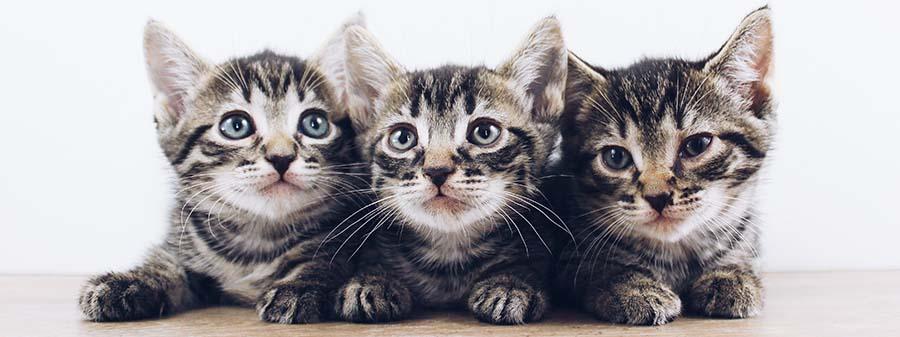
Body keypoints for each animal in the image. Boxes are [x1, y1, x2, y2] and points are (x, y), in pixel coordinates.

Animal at [77, 18, 366, 322]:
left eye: (315, 124)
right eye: (236, 126)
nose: (281, 157)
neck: (258, 239)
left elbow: (323, 261)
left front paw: (298, 285)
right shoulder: (185, 242)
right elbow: (167, 263)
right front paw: (130, 280)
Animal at [320, 17, 568, 322]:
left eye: (484, 132)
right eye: (403, 138)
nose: (437, 171)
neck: (449, 256)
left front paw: (511, 283)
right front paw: (372, 280)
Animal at [556, 6, 772, 324]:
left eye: (697, 145)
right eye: (615, 157)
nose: (657, 196)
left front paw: (731, 275)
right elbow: (597, 269)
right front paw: (633, 287)